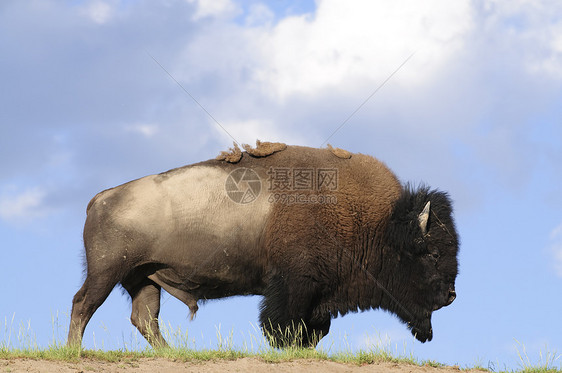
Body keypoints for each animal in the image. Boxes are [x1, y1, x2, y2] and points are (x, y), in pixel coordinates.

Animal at [68, 141, 458, 348]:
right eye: (433, 253)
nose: (451, 296)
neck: (378, 224)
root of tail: (101, 198)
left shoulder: (319, 297)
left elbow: (314, 330)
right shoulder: (294, 286)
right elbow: (282, 325)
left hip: (144, 277)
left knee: (145, 318)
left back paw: (170, 353)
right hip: (108, 271)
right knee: (83, 304)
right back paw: (73, 351)